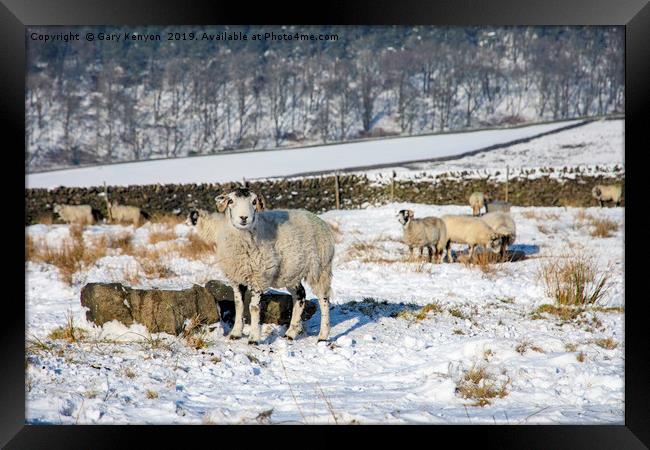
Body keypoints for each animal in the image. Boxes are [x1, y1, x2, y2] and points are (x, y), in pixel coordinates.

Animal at [213, 188, 334, 342]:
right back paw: (291, 332)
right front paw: (235, 333)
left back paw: (323, 335)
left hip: (320, 269)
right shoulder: (236, 278)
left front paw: (253, 338)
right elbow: (239, 305)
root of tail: (318, 219)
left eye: (254, 201)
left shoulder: (258, 277)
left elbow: (254, 308)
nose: (244, 217)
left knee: (324, 300)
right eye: (230, 201)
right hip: (292, 272)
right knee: (300, 295)